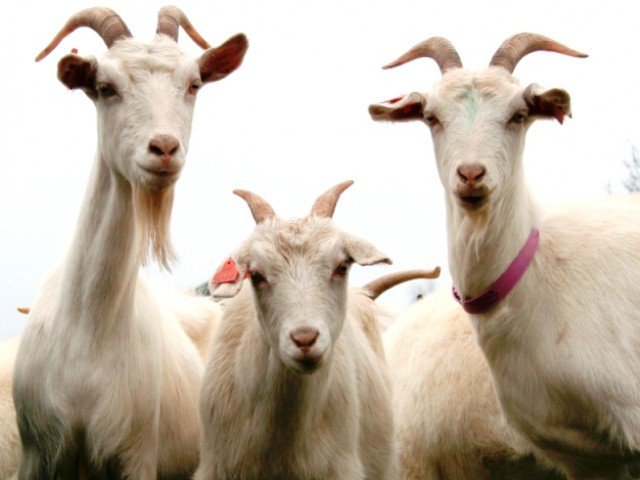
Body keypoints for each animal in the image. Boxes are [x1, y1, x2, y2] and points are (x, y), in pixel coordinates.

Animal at [12, 7, 246, 479]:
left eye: (194, 84)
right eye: (106, 88)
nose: (164, 148)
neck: (86, 332)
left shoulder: (136, 452)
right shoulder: (36, 452)